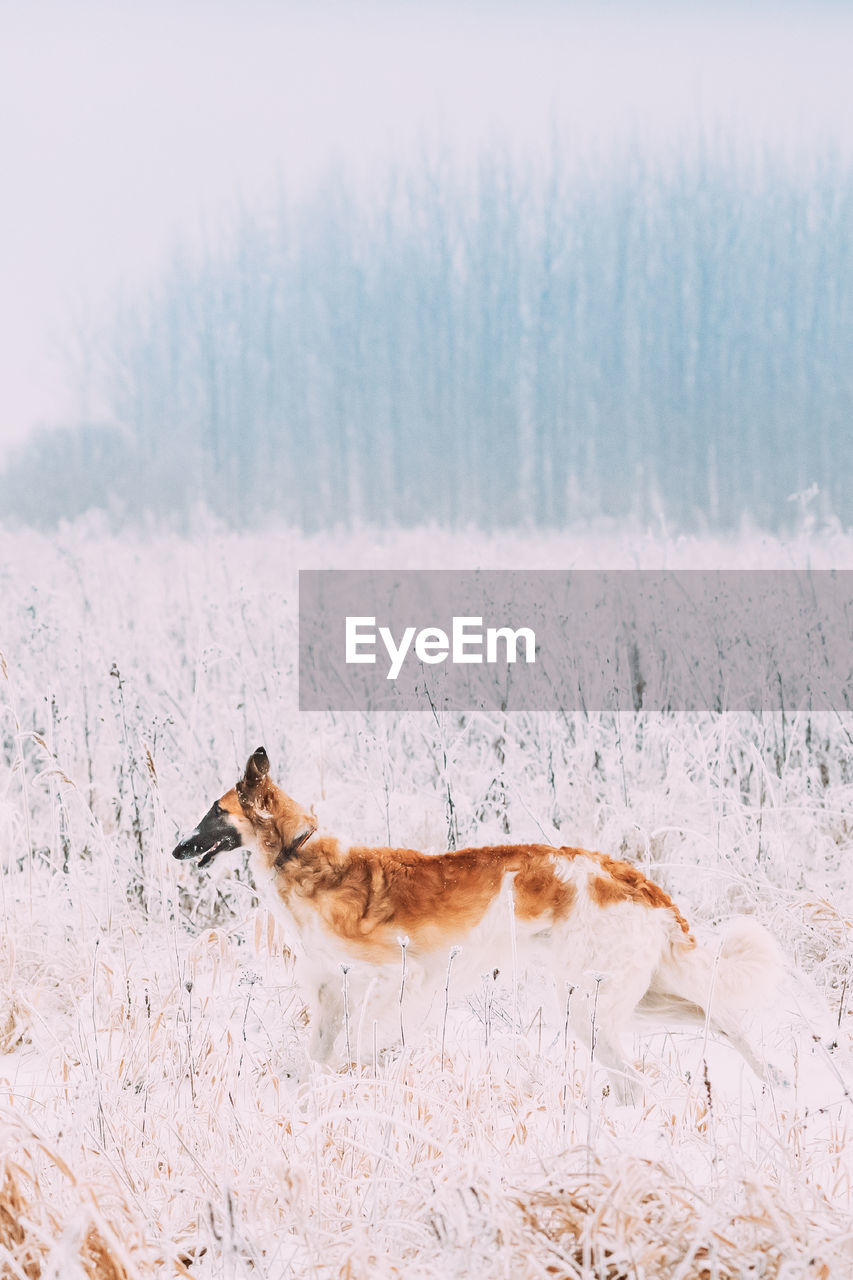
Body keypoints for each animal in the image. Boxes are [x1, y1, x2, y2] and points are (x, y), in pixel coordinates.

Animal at [172, 747, 783, 1100]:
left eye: (215, 811)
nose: (177, 849)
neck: (299, 856)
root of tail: (631, 877)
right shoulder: (328, 994)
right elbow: (316, 1062)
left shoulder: (400, 977)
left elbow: (366, 1046)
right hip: (629, 997)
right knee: (722, 1019)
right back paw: (777, 1081)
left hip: (593, 1005)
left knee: (642, 1074)